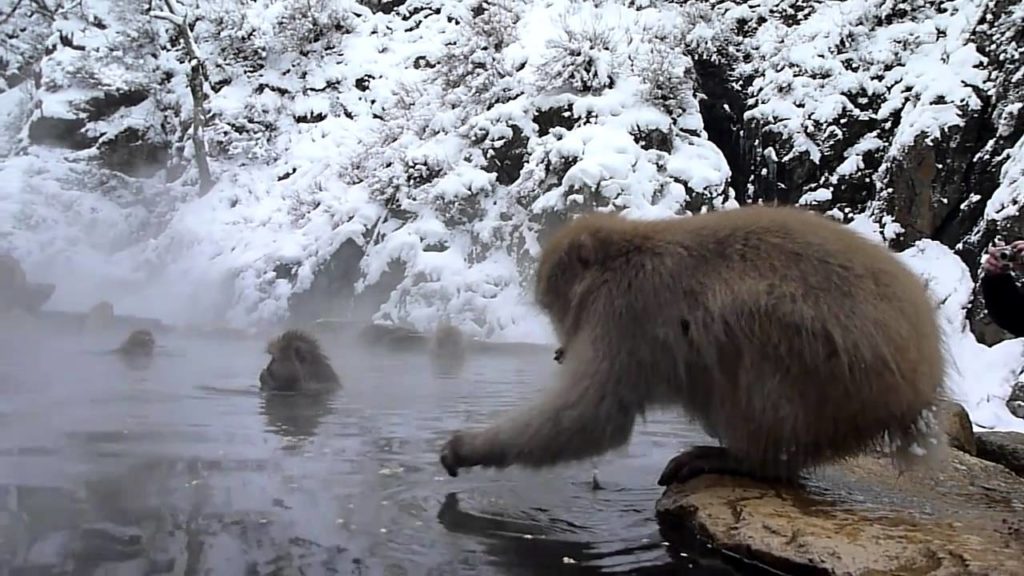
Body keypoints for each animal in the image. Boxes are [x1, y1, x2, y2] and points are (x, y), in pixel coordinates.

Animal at [438, 206, 947, 487]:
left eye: (554, 307)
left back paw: (746, 461)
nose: (561, 349)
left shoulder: (624, 311)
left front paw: (466, 448)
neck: (622, 256)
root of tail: (920, 387)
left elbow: (594, 417)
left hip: (836, 378)